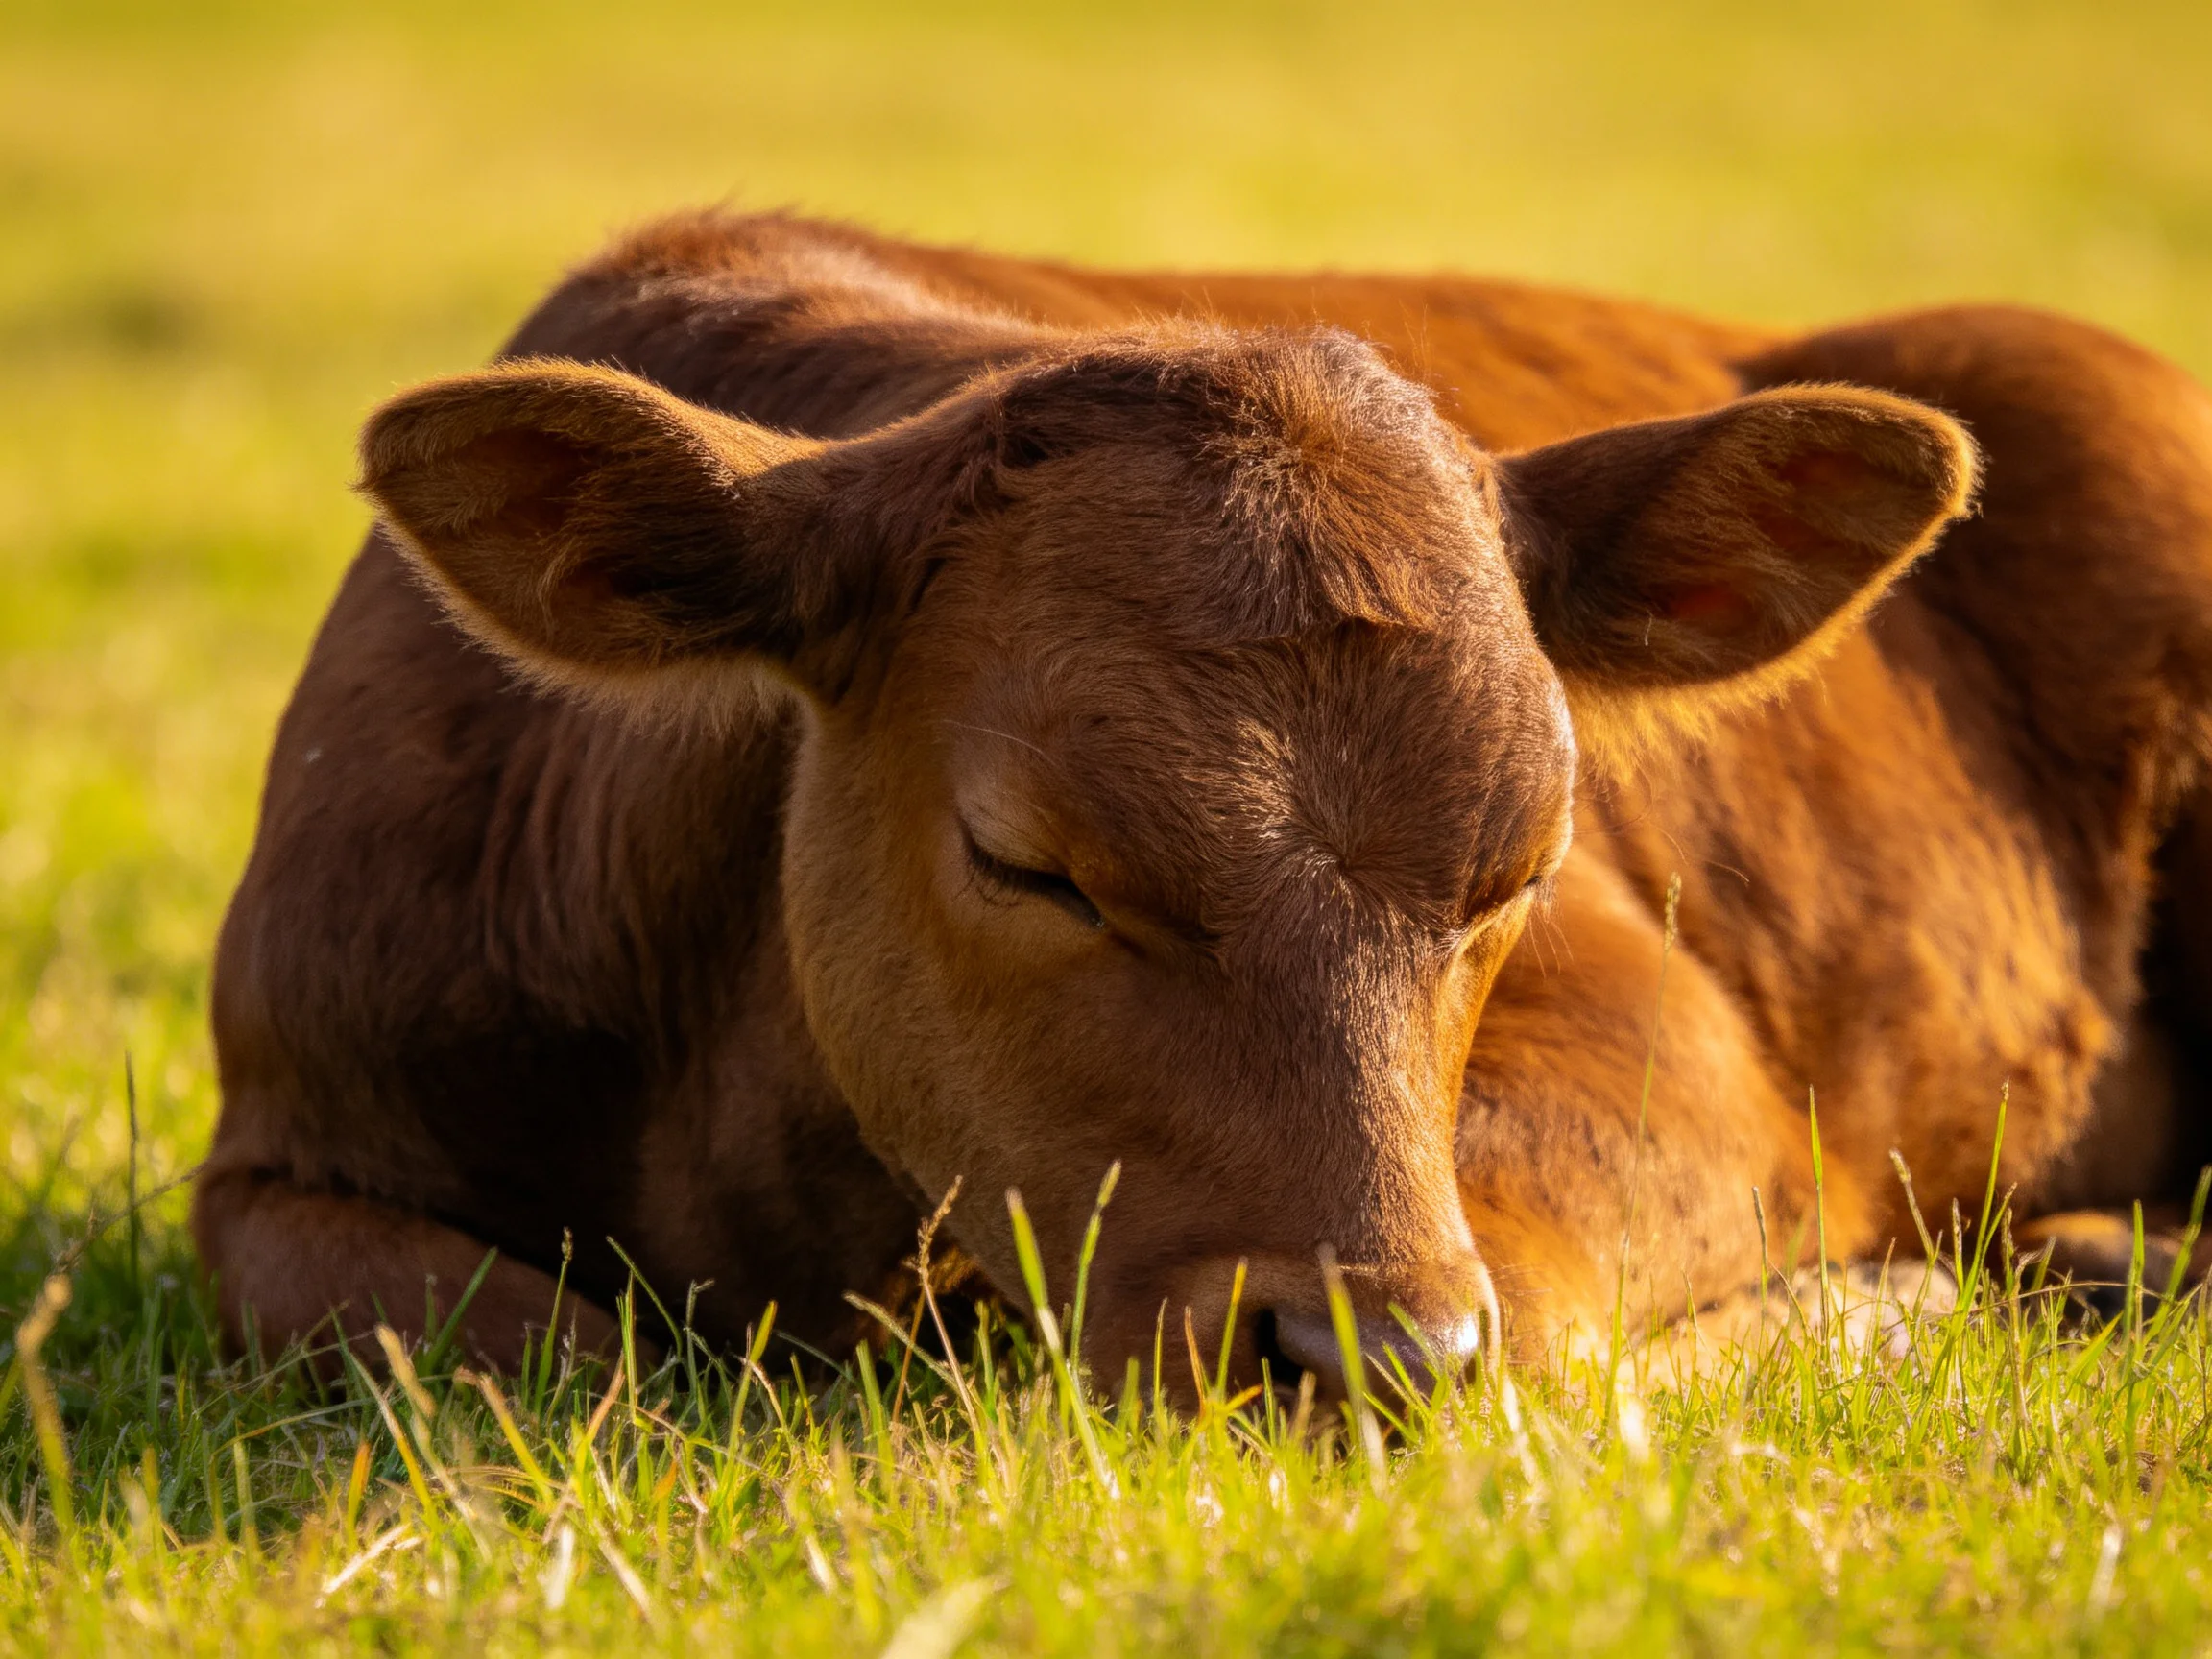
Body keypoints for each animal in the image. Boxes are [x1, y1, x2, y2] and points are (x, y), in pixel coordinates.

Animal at [194, 211, 2212, 1398]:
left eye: (1518, 865)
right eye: (1025, 859)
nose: (1361, 1350)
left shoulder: (1675, 1051)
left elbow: (1544, 1310)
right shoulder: (287, 1131)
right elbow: (526, 1357)